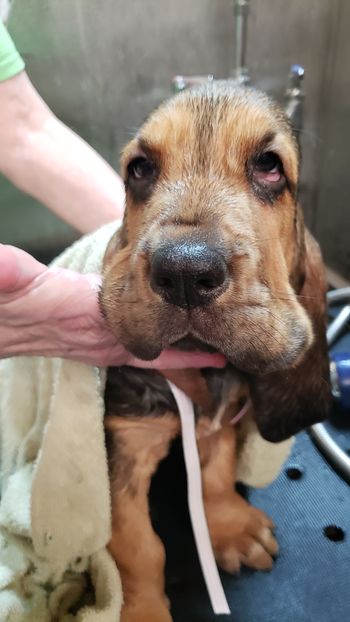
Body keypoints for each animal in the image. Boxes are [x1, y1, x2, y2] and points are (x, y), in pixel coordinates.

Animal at [99, 84, 330, 622]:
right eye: (139, 168)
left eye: (269, 166)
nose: (184, 271)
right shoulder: (127, 441)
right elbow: (136, 543)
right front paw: (142, 610)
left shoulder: (223, 417)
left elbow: (217, 471)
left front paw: (228, 526)